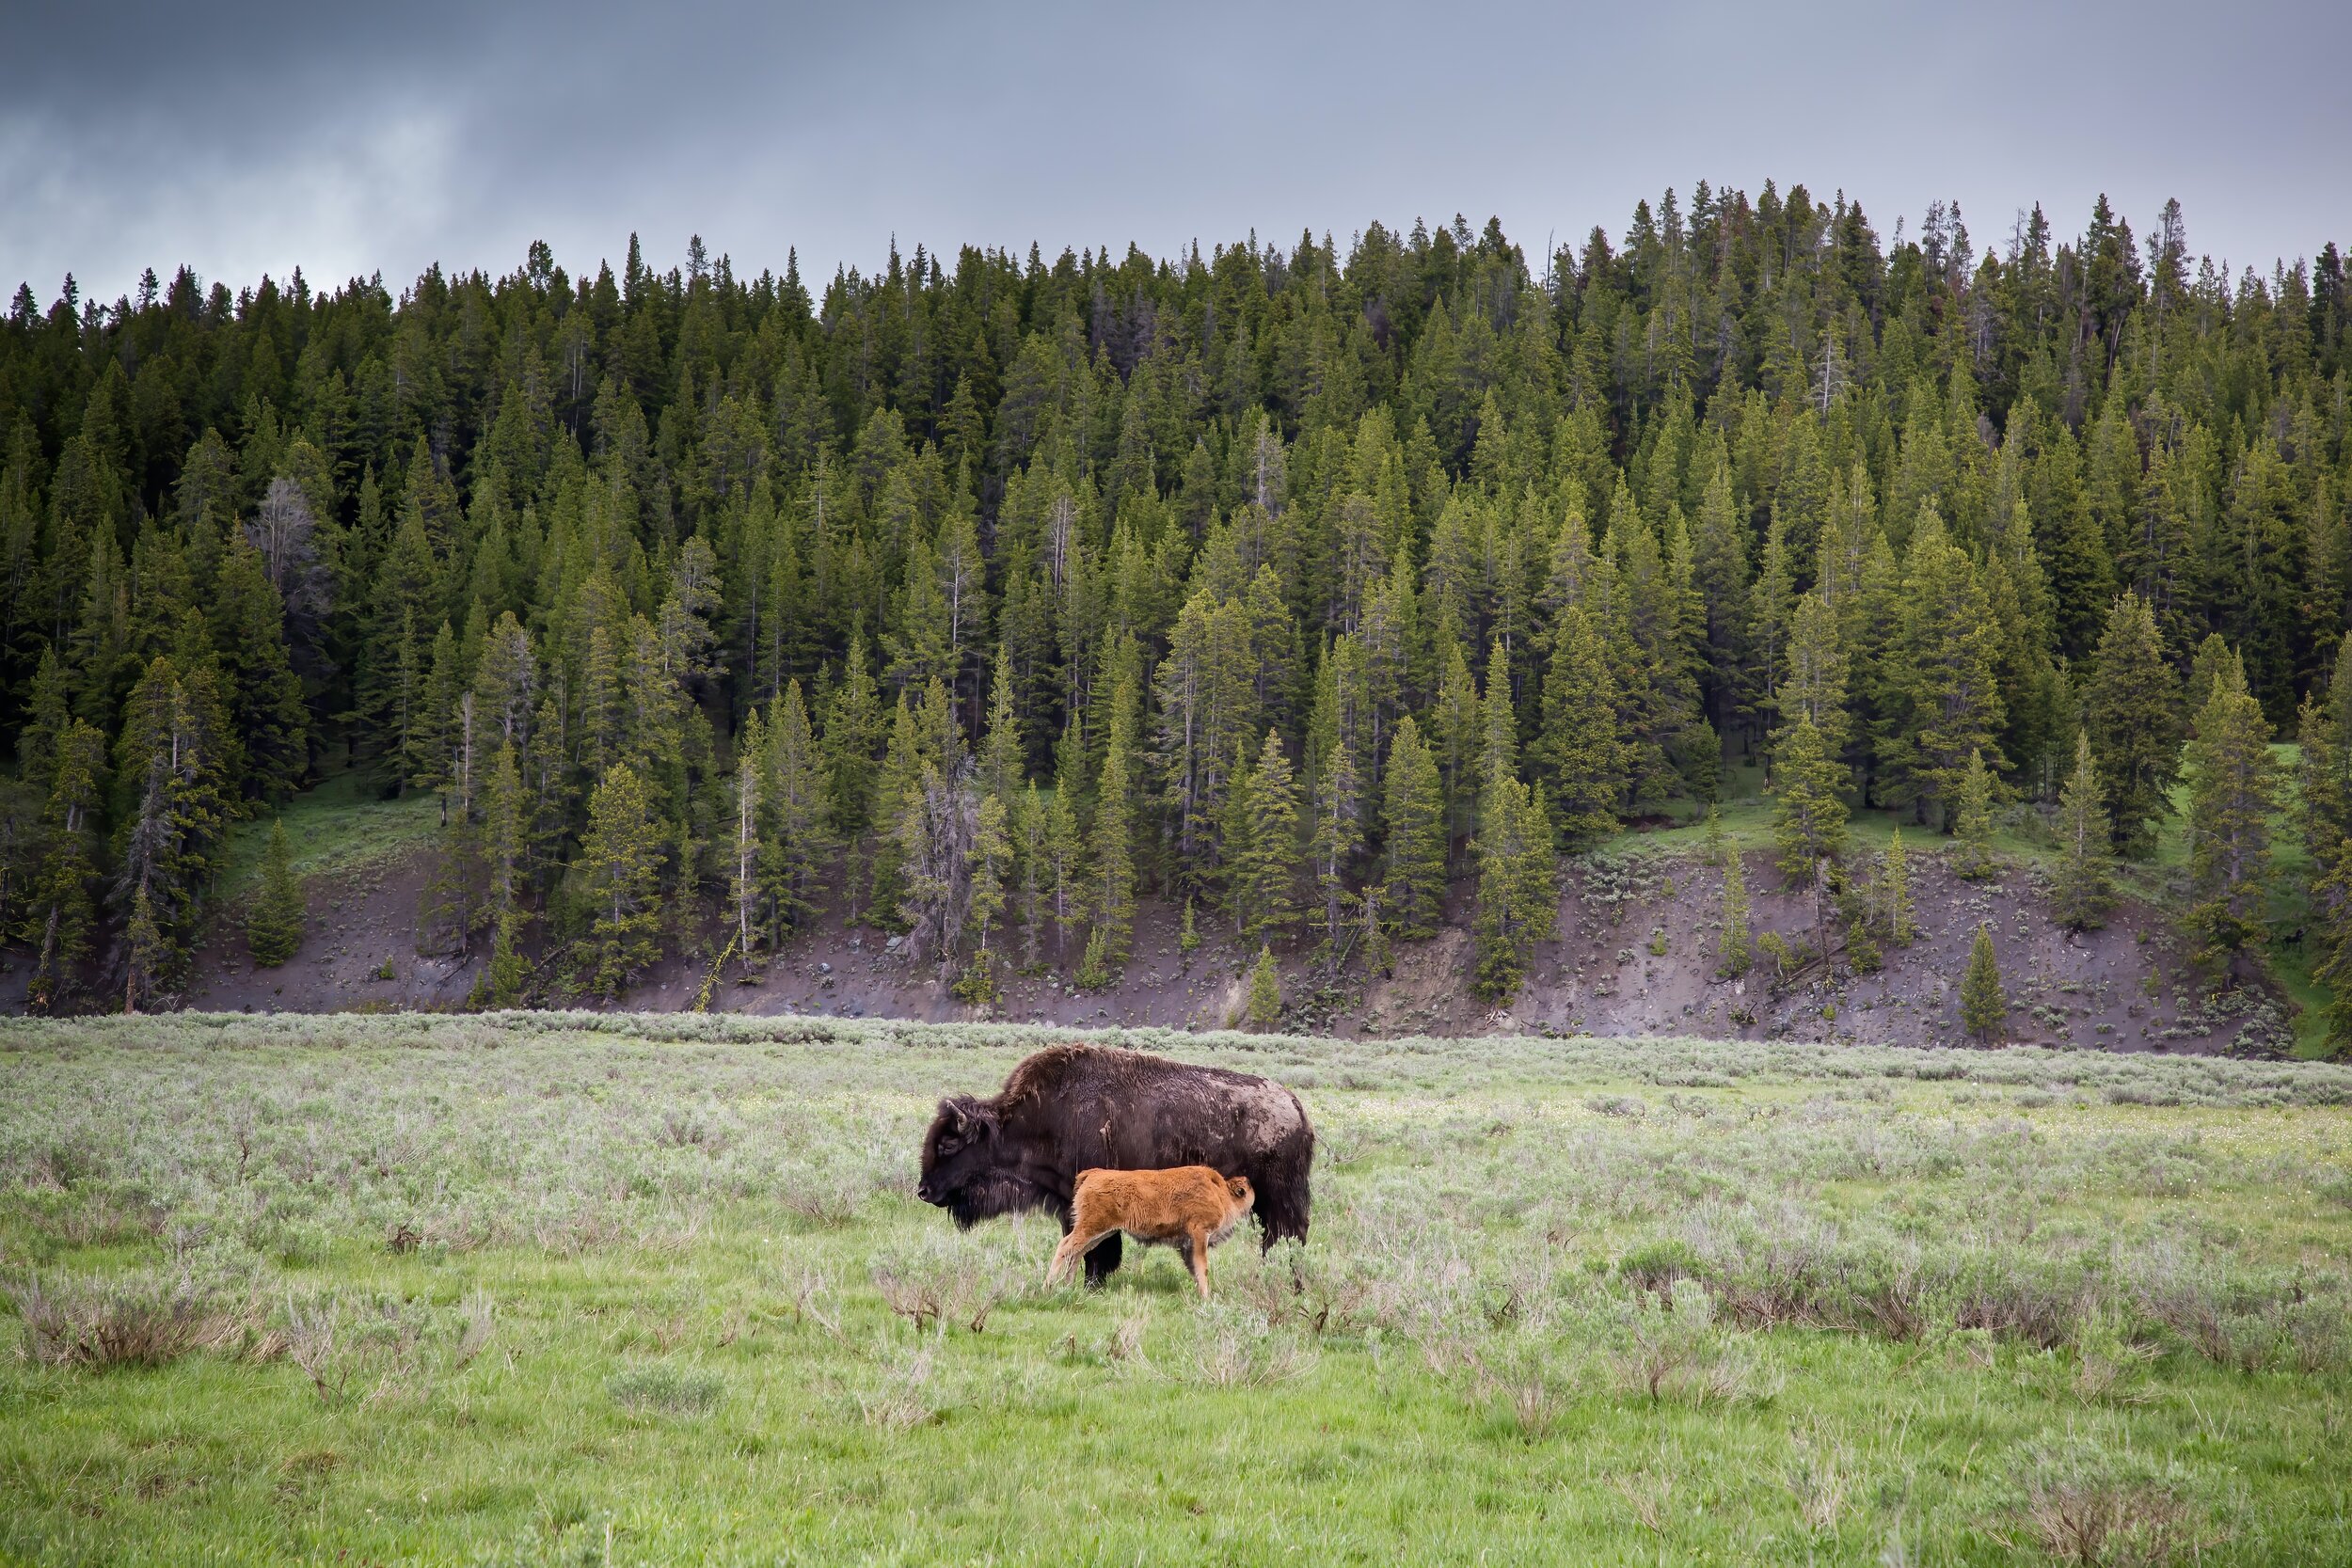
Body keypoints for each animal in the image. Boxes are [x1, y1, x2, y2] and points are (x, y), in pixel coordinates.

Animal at [1049, 1165, 1261, 1297]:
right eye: (1248, 1190)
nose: (1250, 1182)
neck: (1220, 1192)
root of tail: (1093, 1174)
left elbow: (1194, 1268)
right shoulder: (1200, 1234)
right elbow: (1202, 1267)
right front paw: (1206, 1297)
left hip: (1100, 1232)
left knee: (1076, 1253)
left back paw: (1068, 1287)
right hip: (1091, 1227)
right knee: (1065, 1247)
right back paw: (1048, 1286)